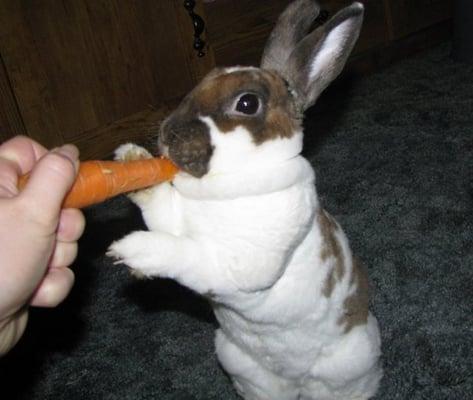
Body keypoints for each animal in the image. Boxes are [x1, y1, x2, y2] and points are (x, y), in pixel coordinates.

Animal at [109, 1, 382, 398]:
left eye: (247, 102)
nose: (168, 135)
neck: (227, 185)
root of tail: (297, 382)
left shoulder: (244, 267)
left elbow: (190, 256)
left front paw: (135, 252)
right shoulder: (175, 219)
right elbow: (161, 210)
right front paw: (130, 158)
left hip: (350, 364)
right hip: (241, 365)